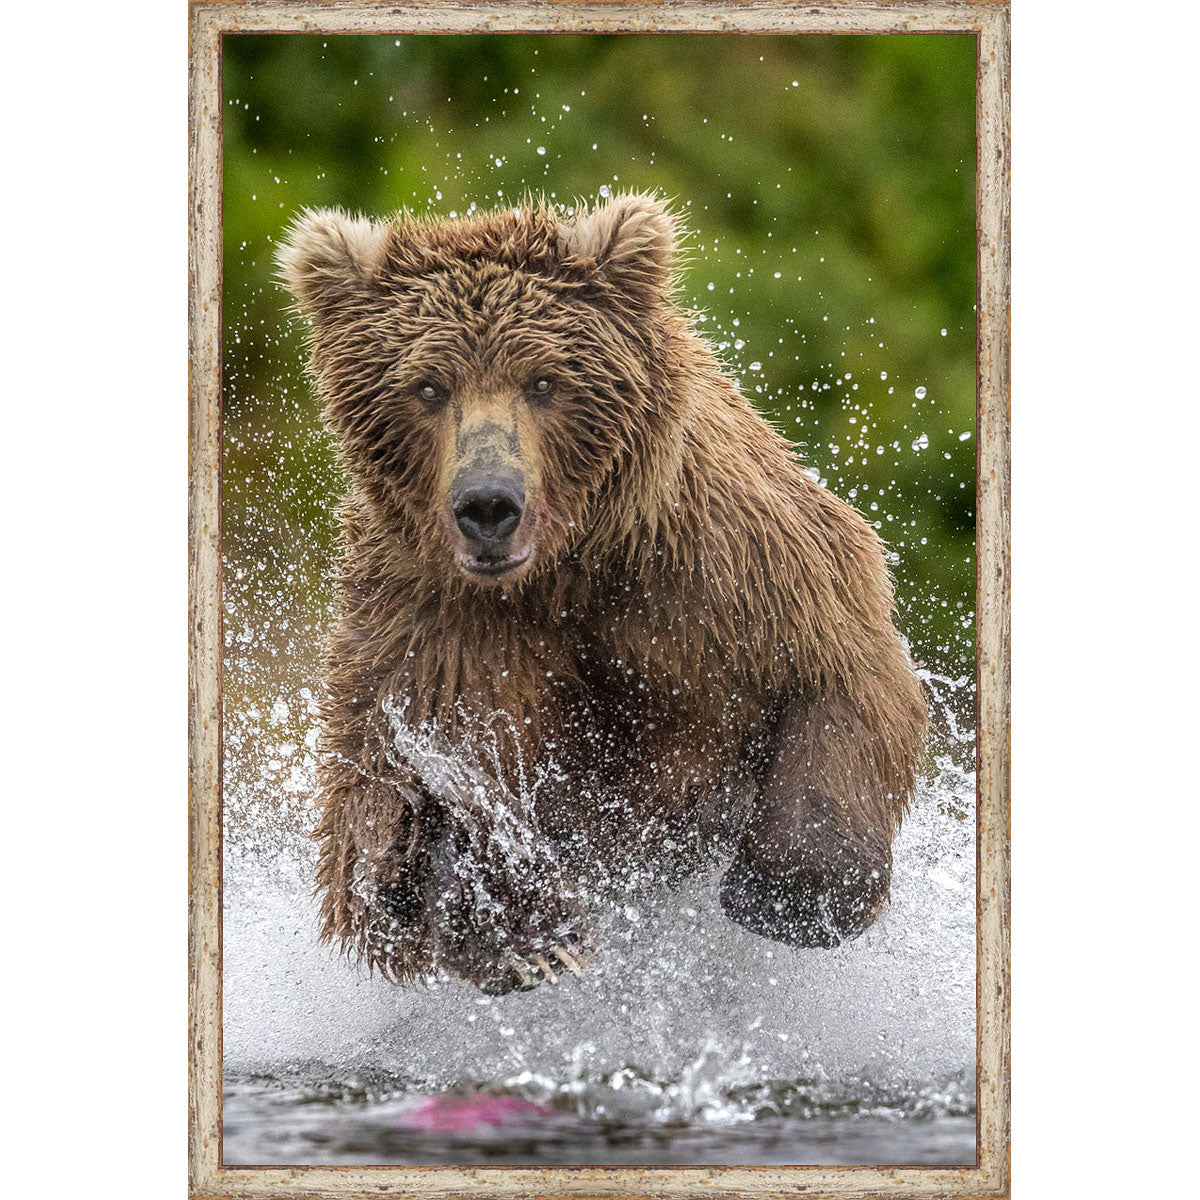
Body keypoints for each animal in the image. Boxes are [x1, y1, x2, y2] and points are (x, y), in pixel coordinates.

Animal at [277, 192, 929, 995]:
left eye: (543, 380)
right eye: (428, 386)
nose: (488, 505)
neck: (563, 574)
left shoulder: (722, 574)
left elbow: (844, 679)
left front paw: (788, 894)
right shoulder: (433, 629)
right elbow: (393, 811)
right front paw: (530, 938)